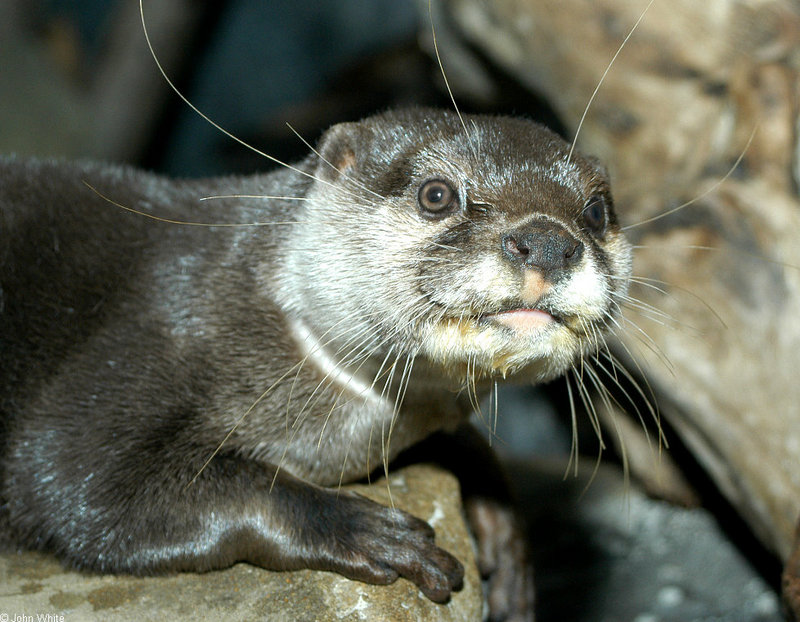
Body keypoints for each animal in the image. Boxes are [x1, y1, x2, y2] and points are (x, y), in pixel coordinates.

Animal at [0, 109, 632, 620]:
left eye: (597, 210)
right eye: (436, 194)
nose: (547, 242)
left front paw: (503, 532)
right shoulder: (158, 329)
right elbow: (72, 484)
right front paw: (362, 529)